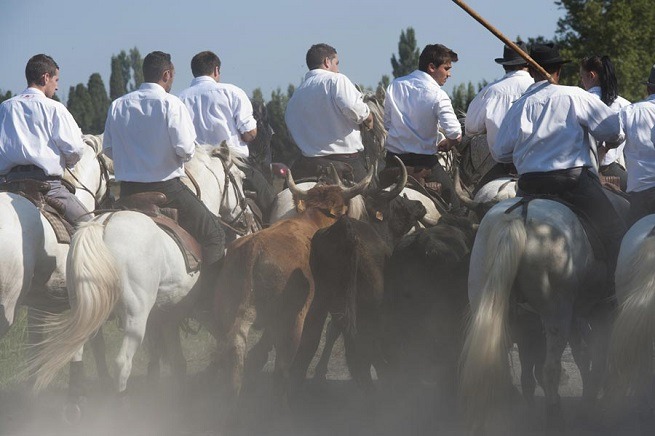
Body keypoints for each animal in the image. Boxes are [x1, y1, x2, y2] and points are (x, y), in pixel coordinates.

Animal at [28, 143, 258, 398]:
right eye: (240, 178)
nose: (247, 222)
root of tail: (102, 226)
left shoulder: (167, 315)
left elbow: (172, 360)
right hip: (135, 316)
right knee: (122, 363)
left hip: (84, 306)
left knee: (75, 352)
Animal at [213, 167, 372, 402]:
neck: (314, 220)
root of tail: (254, 249)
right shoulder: (319, 306)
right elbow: (312, 341)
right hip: (291, 322)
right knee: (282, 368)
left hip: (227, 313)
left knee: (232, 352)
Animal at [458, 197, 612, 430]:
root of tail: (518, 215)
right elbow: (595, 352)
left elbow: (583, 354)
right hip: (557, 313)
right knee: (550, 369)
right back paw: (555, 418)